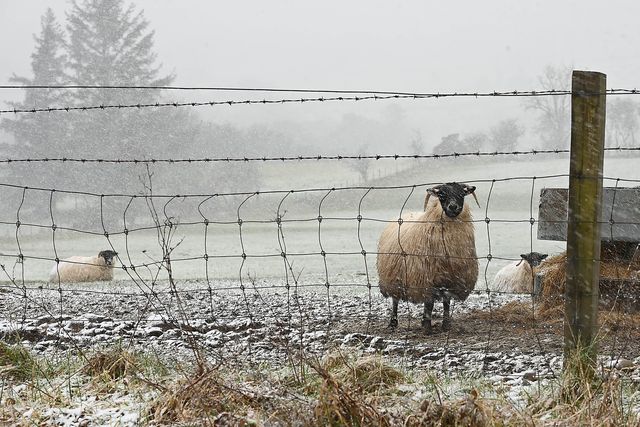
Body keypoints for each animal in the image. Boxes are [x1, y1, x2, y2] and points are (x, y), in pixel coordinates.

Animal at [378, 181, 478, 334]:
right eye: (441, 194)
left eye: (462, 193)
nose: (453, 207)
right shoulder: (426, 278)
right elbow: (429, 303)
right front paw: (427, 326)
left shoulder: (449, 279)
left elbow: (446, 302)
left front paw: (446, 325)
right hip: (394, 276)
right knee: (395, 300)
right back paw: (393, 322)